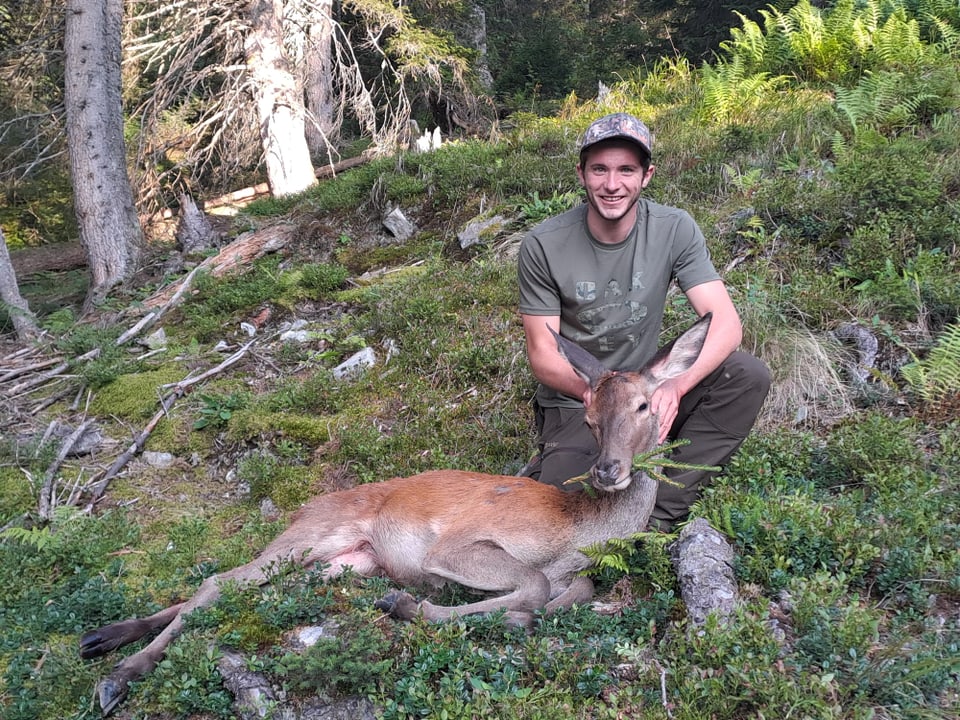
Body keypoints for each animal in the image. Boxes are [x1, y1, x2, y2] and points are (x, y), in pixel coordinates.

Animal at [80, 312, 712, 712]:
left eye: (644, 405)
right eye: (587, 416)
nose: (608, 471)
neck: (578, 531)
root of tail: (307, 505)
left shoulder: (574, 574)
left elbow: (569, 592)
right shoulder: (462, 542)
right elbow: (531, 587)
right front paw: (412, 605)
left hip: (339, 563)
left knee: (234, 589)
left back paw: (104, 638)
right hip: (314, 535)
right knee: (218, 581)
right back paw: (119, 677)